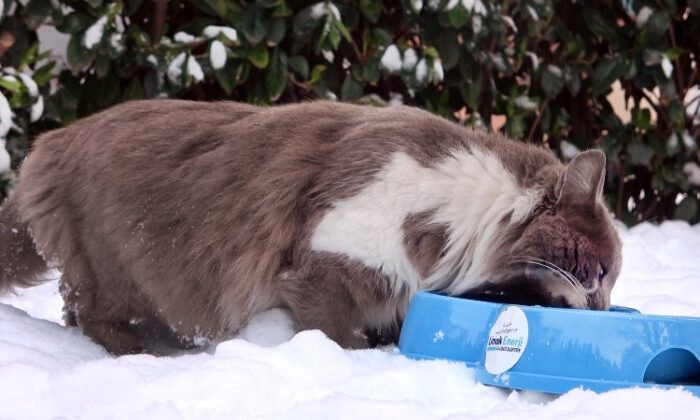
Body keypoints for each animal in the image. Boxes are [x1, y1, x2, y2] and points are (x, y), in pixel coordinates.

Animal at [0, 99, 624, 354]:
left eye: (612, 276)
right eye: (597, 270)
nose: (604, 310)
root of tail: (48, 145)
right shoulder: (327, 262)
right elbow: (336, 333)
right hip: (115, 267)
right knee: (89, 310)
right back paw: (136, 352)